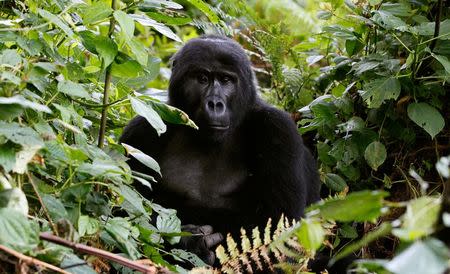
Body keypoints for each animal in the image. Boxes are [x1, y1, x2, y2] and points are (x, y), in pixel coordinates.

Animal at [119, 35, 320, 264]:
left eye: (226, 80)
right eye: (202, 78)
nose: (215, 104)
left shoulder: (278, 128)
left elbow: (280, 234)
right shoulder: (140, 131)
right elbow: (124, 211)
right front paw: (191, 243)